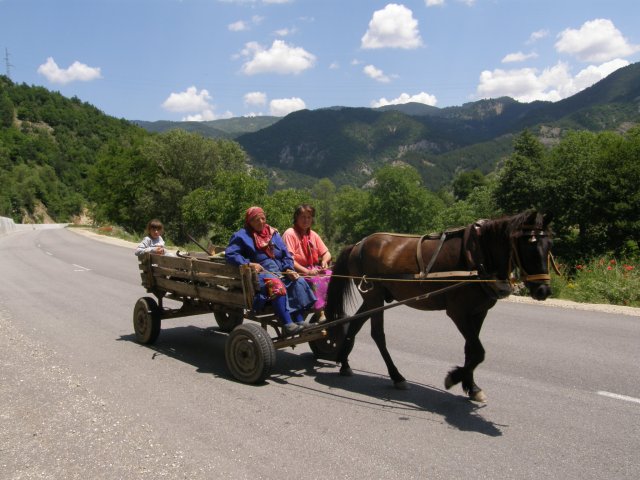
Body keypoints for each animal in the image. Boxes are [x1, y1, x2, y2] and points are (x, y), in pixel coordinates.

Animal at [324, 210, 556, 402]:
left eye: (549, 246)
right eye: (530, 245)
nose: (543, 290)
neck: (477, 255)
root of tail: (357, 244)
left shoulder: (479, 312)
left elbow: (470, 349)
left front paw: (472, 387)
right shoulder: (458, 312)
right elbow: (479, 351)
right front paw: (453, 377)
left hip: (373, 296)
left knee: (355, 325)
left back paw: (344, 363)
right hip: (374, 295)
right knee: (377, 335)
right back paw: (396, 376)